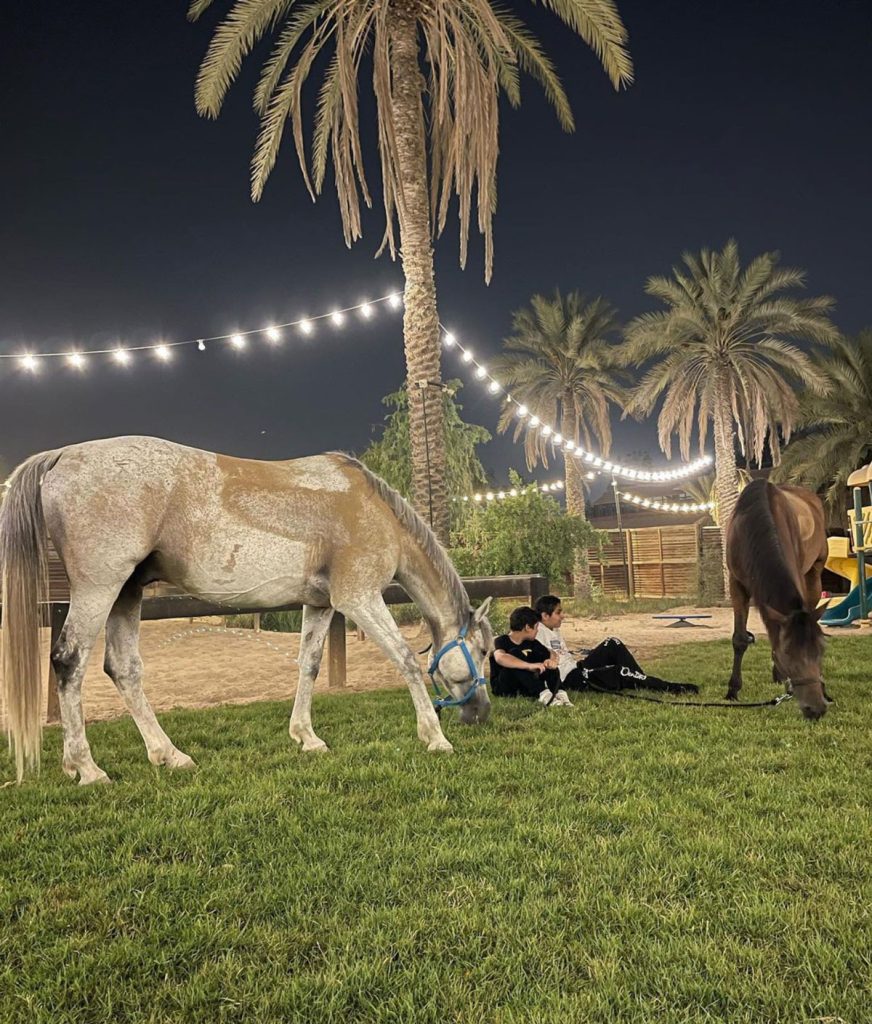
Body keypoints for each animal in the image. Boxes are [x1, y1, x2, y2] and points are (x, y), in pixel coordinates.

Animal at [724, 479, 826, 720]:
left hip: (815, 573)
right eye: (787, 654)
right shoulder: (736, 583)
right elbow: (740, 639)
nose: (816, 709)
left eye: (821, 651)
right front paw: (733, 690)